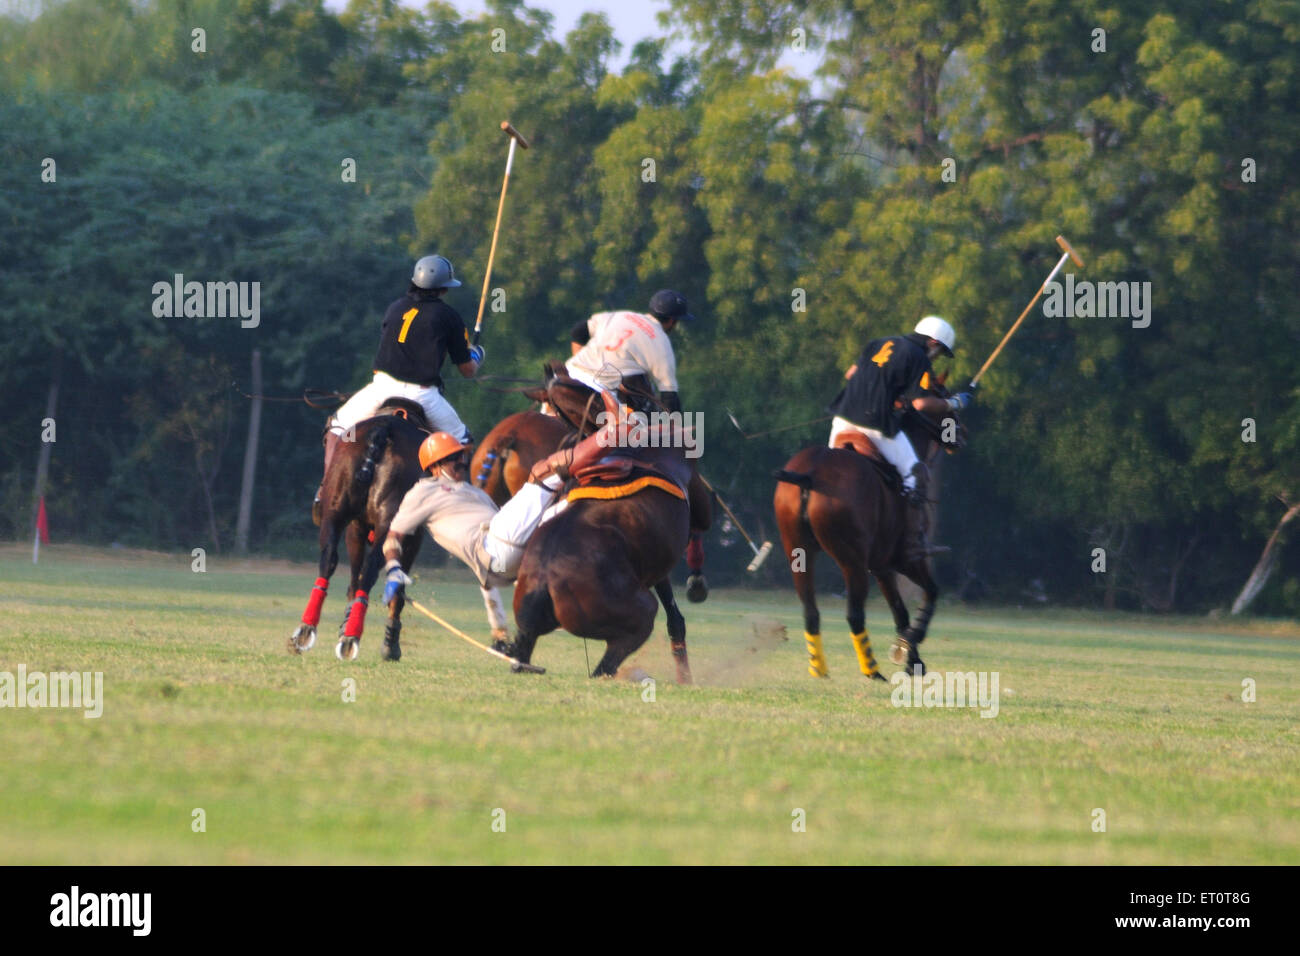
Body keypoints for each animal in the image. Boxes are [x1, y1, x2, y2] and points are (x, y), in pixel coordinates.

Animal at [288, 400, 426, 660]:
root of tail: (384, 429)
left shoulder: (355, 526)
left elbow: (353, 576)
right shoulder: (412, 538)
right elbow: (395, 586)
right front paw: (390, 644)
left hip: (335, 511)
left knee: (329, 560)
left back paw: (306, 629)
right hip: (390, 523)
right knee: (370, 571)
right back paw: (352, 637)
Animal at [769, 390, 967, 681]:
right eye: (950, 412)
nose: (962, 437)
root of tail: (809, 474)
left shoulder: (881, 566)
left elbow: (900, 612)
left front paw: (911, 659)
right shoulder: (907, 559)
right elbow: (931, 592)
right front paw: (911, 645)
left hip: (798, 551)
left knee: (810, 611)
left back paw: (819, 669)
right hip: (851, 560)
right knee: (854, 614)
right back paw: (872, 671)